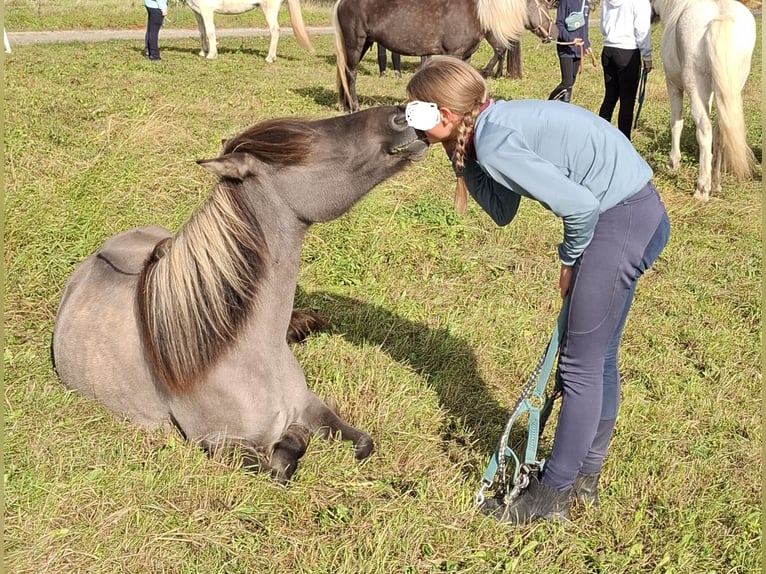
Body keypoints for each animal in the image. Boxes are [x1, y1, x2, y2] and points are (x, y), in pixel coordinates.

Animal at [52, 106, 430, 482]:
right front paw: (290, 441)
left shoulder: (311, 404)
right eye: (309, 146)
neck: (248, 354)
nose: (401, 114)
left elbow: (363, 443)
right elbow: (283, 463)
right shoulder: (221, 444)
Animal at [185, 0, 313, 62]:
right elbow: (202, 32)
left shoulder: (207, 11)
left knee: (275, 30)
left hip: (269, 9)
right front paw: (203, 52)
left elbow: (210, 32)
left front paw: (211, 55)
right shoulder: (198, 12)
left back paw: (269, 58)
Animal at [333, 0, 559, 112]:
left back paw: (344, 105)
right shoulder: (454, 53)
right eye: (544, 5)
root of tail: (342, 2)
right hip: (356, 42)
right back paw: (353, 107)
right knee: (351, 73)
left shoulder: (466, 55)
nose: (556, 33)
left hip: (364, 42)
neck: (474, 12)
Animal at [650, 0, 756, 201]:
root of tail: (721, 16)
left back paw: (702, 189)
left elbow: (676, 123)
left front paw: (673, 163)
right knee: (720, 131)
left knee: (705, 131)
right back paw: (715, 182)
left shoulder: (673, 85)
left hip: (695, 88)